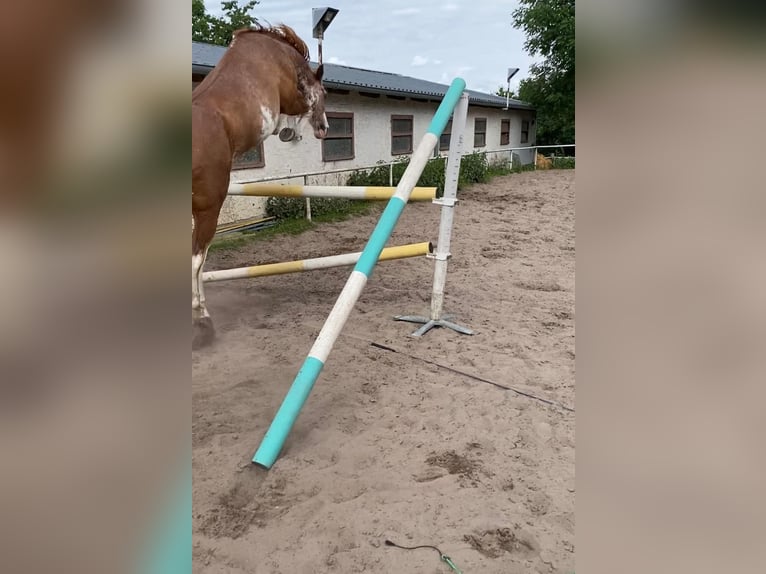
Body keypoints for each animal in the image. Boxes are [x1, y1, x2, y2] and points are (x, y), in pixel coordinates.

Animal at [192, 24, 329, 349]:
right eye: (326, 93)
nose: (325, 129)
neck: (274, 55)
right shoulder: (283, 105)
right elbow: (299, 109)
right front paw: (292, 130)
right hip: (208, 208)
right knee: (196, 261)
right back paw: (202, 324)